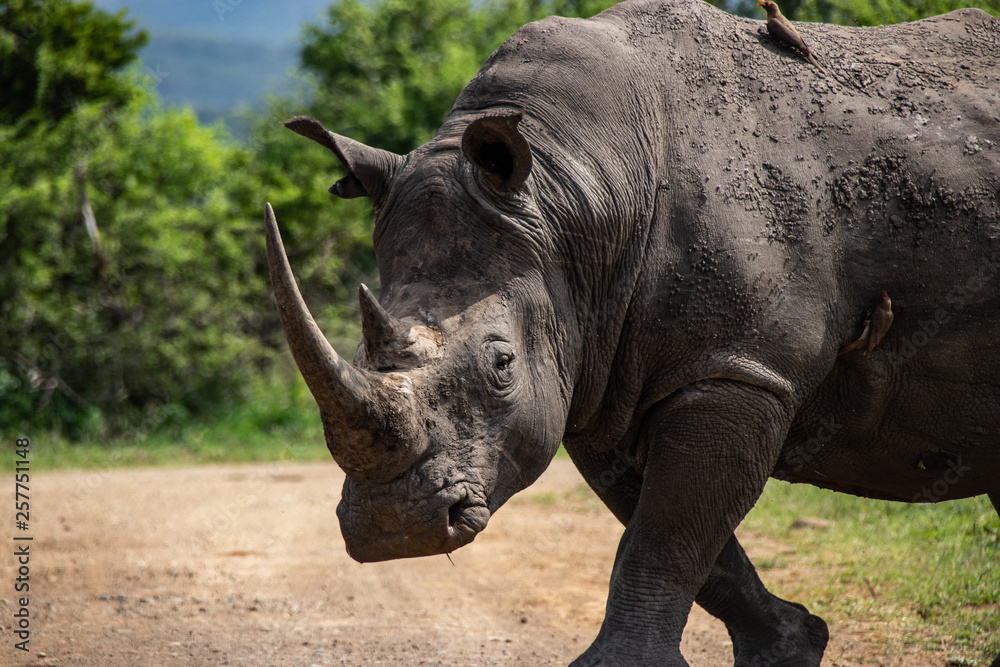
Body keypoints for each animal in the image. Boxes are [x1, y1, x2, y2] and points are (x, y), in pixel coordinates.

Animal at [263, 0, 1000, 664]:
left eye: (501, 364)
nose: (394, 528)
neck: (571, 195)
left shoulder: (735, 366)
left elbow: (665, 534)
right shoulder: (600, 372)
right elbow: (688, 542)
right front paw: (789, 644)